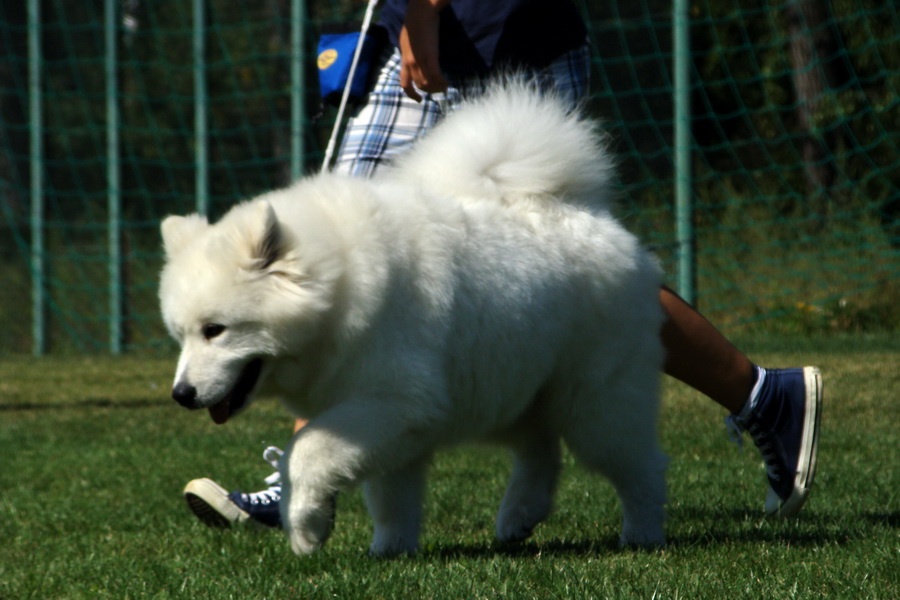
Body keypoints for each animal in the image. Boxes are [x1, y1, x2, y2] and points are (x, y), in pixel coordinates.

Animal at [160, 81, 668, 556]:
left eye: (215, 330)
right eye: (182, 336)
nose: (181, 395)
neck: (341, 290)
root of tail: (593, 217)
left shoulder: (392, 401)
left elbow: (305, 454)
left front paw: (305, 528)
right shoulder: (398, 420)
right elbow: (391, 497)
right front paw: (390, 550)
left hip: (594, 404)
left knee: (641, 466)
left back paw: (642, 534)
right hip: (502, 388)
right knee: (540, 449)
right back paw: (519, 517)